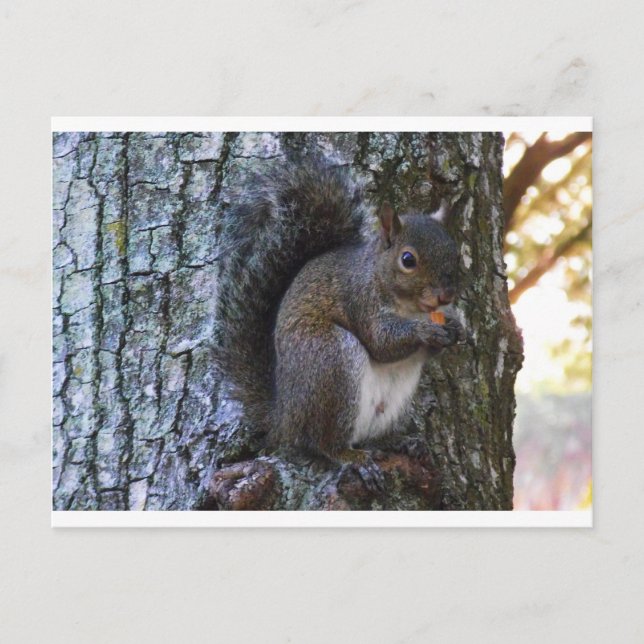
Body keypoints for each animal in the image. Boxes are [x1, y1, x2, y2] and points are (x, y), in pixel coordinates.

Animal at [217, 156, 464, 487]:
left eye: (456, 253)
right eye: (408, 260)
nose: (446, 295)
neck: (410, 307)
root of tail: (284, 419)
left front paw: (455, 328)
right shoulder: (359, 299)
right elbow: (381, 342)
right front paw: (425, 331)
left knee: (368, 436)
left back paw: (397, 442)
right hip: (332, 360)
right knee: (324, 442)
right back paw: (352, 457)